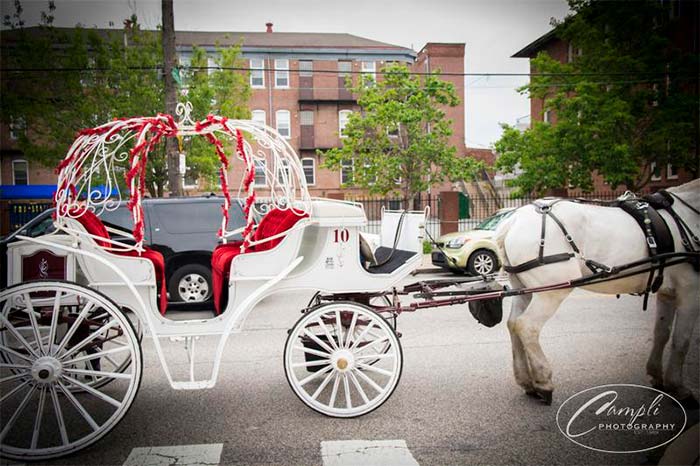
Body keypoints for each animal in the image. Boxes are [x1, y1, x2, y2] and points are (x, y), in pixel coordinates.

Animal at [494, 178, 696, 404]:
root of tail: (513, 220)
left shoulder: (667, 292)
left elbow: (661, 333)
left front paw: (656, 376)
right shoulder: (690, 290)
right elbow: (681, 340)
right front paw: (678, 387)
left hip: (525, 288)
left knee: (513, 324)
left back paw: (526, 381)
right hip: (551, 291)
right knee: (527, 326)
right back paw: (543, 382)